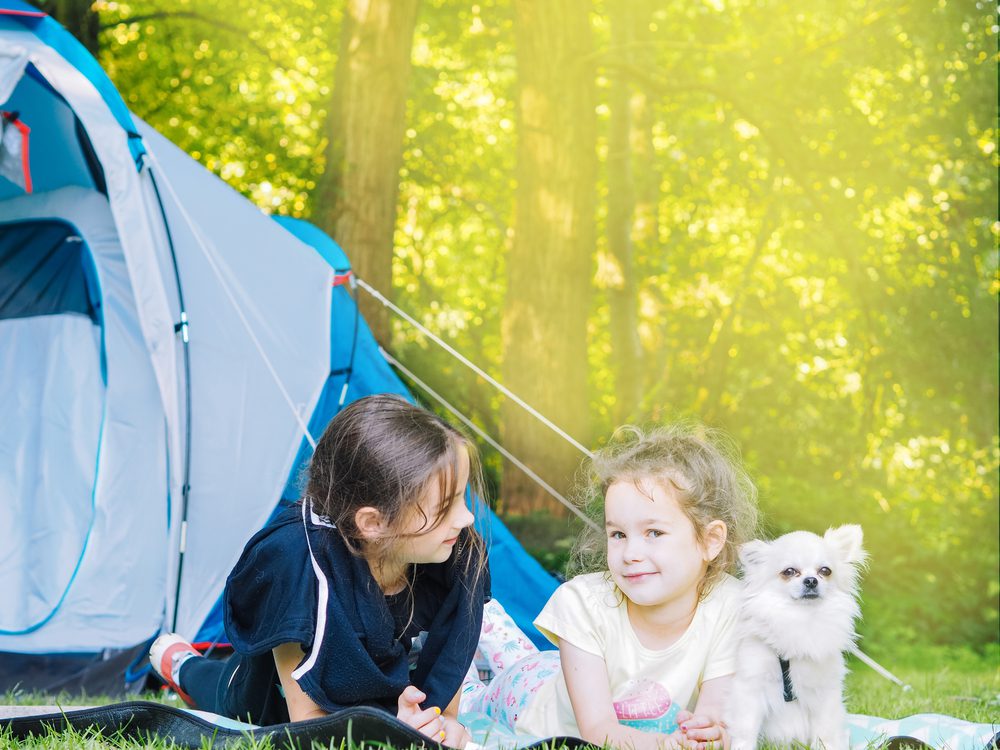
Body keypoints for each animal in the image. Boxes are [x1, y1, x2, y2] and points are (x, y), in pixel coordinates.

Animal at [728, 524, 868, 748]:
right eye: (789, 572)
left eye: (825, 571)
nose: (811, 580)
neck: (801, 617)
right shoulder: (751, 687)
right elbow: (745, 730)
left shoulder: (824, 691)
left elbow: (825, 732)